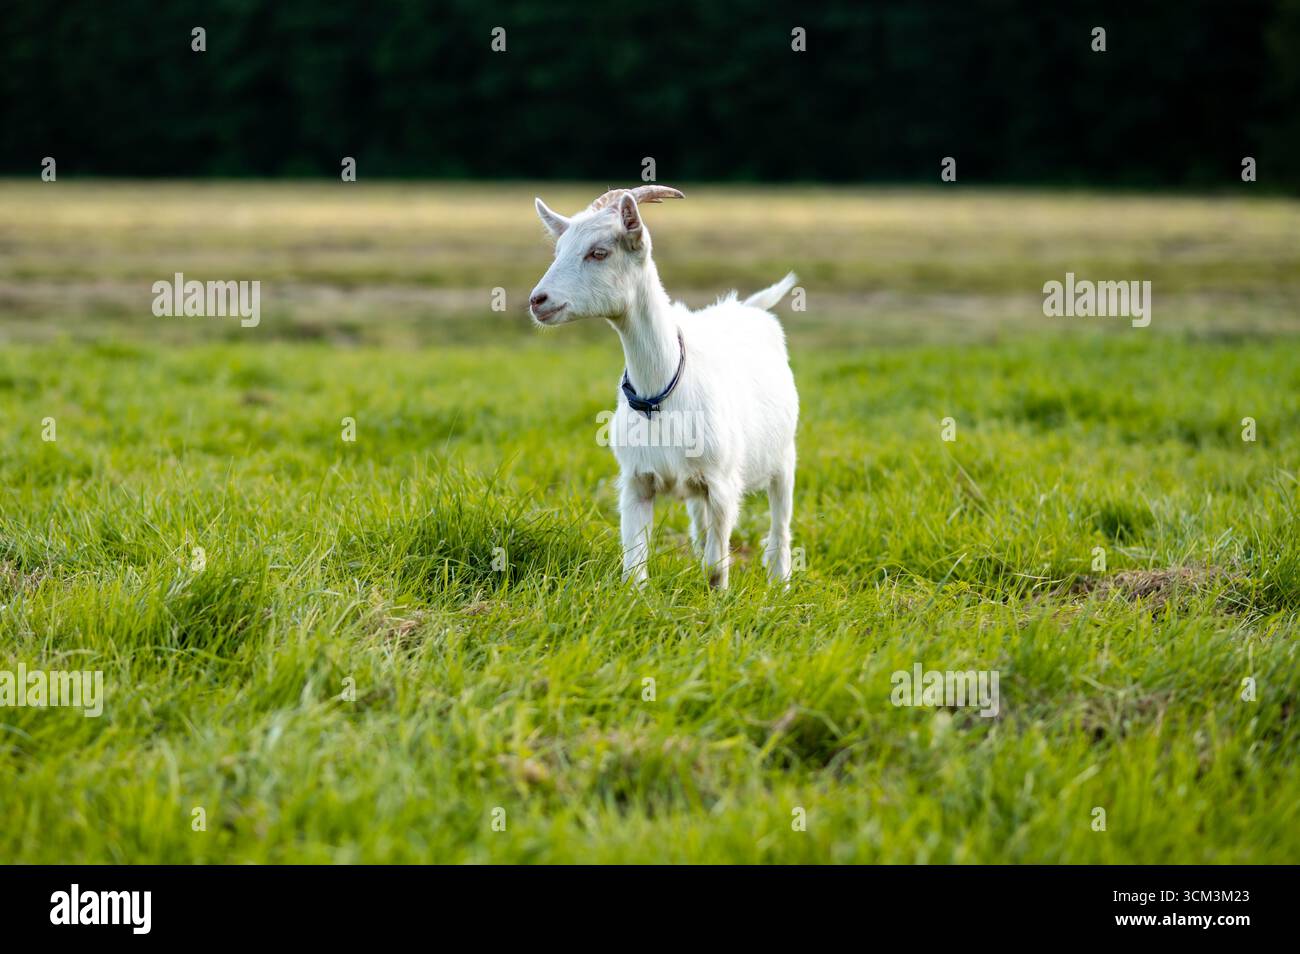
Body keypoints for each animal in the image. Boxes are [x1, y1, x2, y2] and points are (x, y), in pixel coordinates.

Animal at [529, 186, 798, 589]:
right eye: (558, 250)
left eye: (599, 252)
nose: (537, 300)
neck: (660, 395)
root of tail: (749, 307)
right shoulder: (636, 481)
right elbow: (635, 563)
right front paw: (636, 596)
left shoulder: (722, 483)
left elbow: (717, 566)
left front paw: (720, 599)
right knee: (701, 528)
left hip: (784, 457)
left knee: (780, 522)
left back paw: (780, 583)